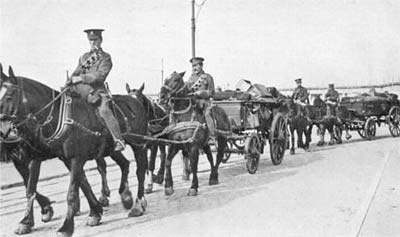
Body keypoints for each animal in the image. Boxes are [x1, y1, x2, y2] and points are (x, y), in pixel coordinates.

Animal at [0, 64, 148, 236]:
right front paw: (26, 221)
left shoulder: (76, 158)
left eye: (9, 95)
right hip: (111, 149)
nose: (4, 132)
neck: (59, 116)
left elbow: (72, 192)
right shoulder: (39, 158)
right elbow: (32, 189)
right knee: (124, 164)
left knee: (140, 170)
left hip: (139, 145)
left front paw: (66, 226)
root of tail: (134, 100)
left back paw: (138, 204)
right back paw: (125, 197)